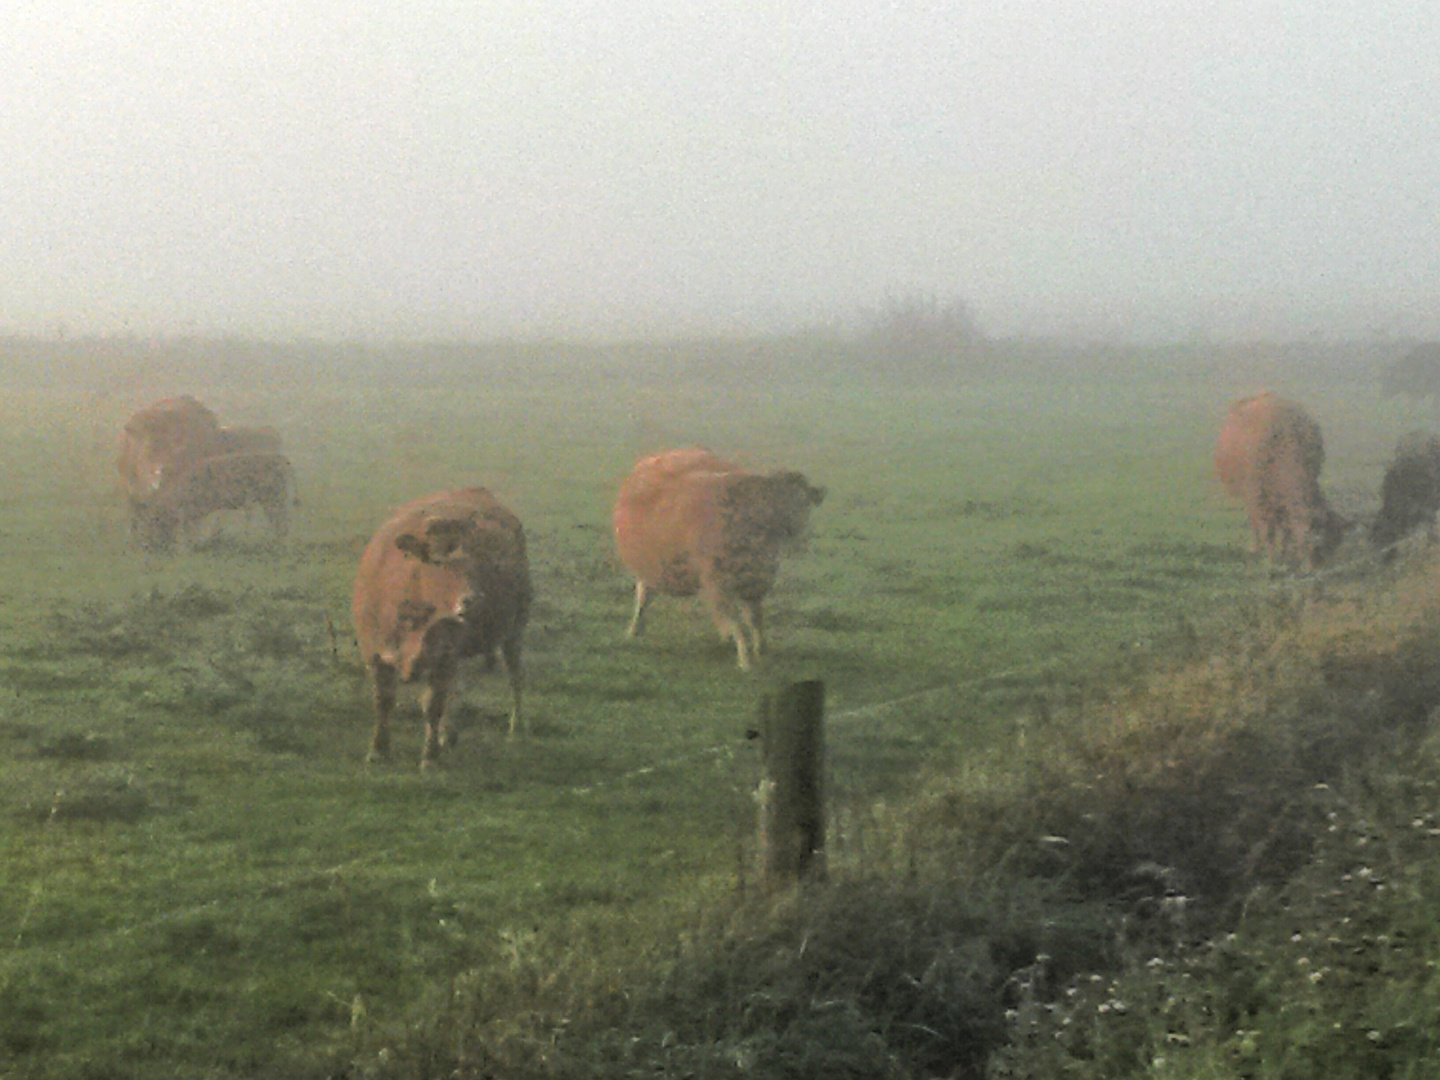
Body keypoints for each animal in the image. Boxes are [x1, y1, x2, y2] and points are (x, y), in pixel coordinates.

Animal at [129, 452, 298, 552]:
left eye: (152, 523)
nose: (147, 546)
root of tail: (282, 459)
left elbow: (190, 529)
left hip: (274, 499)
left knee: (281, 522)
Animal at [351, 489, 532, 771]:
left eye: (475, 562)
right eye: (437, 561)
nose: (473, 599)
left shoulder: (443, 655)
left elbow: (433, 704)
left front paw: (429, 756)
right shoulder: (375, 653)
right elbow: (383, 700)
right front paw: (378, 749)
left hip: (514, 629)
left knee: (515, 676)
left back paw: (516, 725)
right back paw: (449, 734)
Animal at [613, 446, 829, 668]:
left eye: (804, 502)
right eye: (776, 499)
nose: (793, 527)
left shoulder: (755, 583)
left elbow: (755, 619)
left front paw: (760, 650)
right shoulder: (720, 585)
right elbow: (737, 623)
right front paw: (745, 659)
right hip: (649, 565)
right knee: (643, 596)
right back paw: (635, 629)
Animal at [1215, 391, 1347, 576]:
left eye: (1333, 545)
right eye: (1313, 544)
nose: (1318, 572)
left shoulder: (1285, 503)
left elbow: (1286, 532)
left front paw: (1286, 556)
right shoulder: (1258, 499)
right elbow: (1269, 532)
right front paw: (1271, 560)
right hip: (1251, 497)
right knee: (1255, 523)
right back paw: (1256, 548)